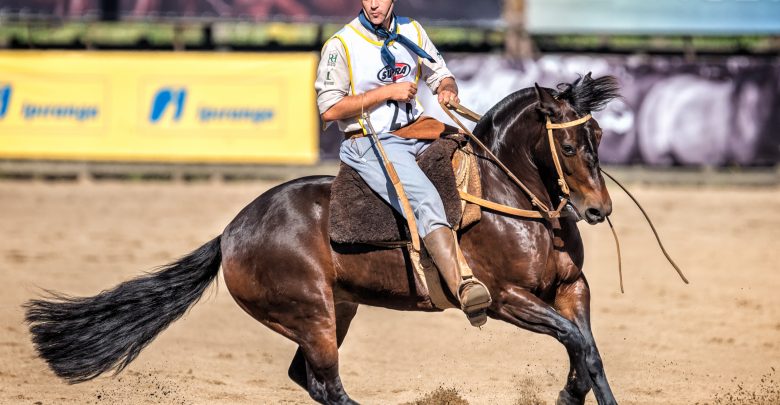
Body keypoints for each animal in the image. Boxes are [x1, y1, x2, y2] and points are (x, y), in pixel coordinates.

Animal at [24, 73, 620, 404]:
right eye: (568, 146)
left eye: (598, 134)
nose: (598, 209)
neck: (512, 198)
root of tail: (231, 233)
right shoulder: (501, 299)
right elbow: (574, 340)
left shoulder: (573, 287)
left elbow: (587, 350)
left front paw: (575, 392)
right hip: (311, 314)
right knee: (327, 384)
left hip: (337, 310)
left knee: (309, 380)